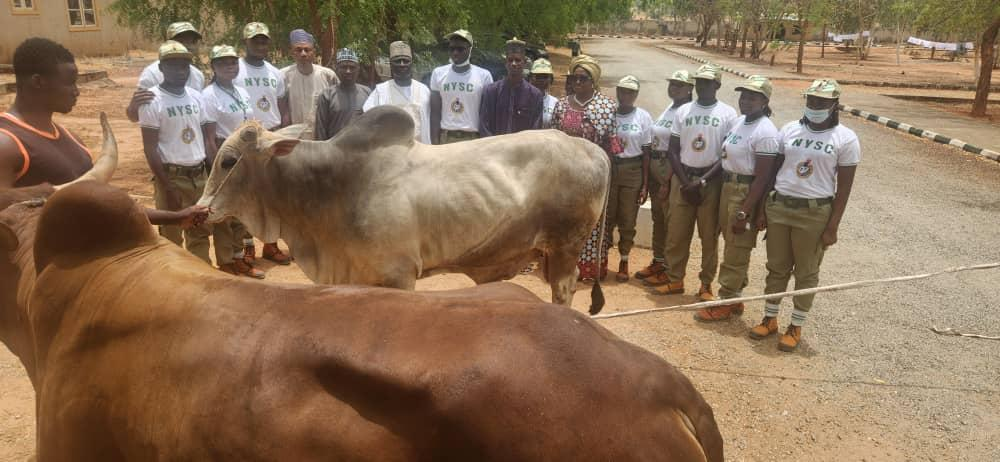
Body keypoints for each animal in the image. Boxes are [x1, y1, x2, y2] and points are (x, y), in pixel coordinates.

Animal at [197, 106, 608, 312]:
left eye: (229, 160)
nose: (201, 209)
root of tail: (591, 148)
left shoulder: (400, 275)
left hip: (565, 248)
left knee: (565, 289)